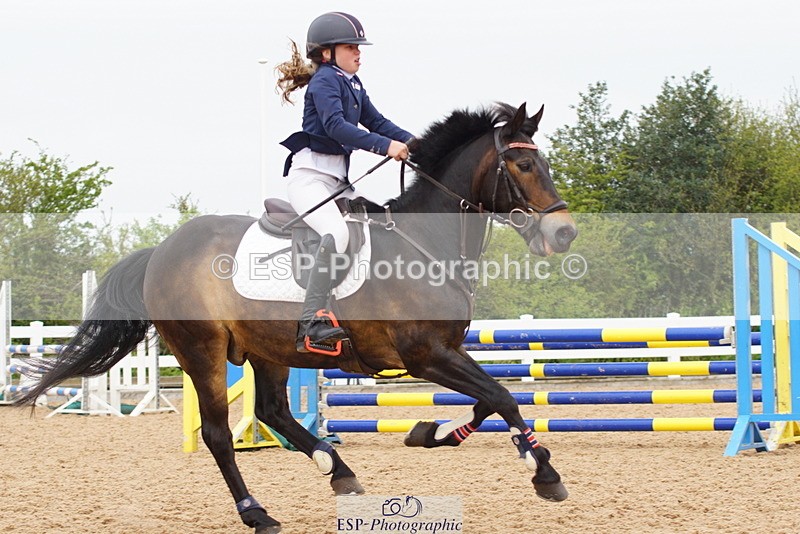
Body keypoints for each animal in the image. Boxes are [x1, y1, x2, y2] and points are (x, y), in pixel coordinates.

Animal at [16, 102, 578, 533]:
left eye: (544, 164)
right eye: (522, 166)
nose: (565, 233)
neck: (425, 243)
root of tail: (161, 252)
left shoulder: (449, 352)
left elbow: (491, 399)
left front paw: (433, 432)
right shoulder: (427, 356)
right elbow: (503, 396)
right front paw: (544, 474)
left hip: (269, 349)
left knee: (272, 411)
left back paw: (336, 467)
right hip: (203, 351)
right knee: (220, 434)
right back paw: (258, 512)